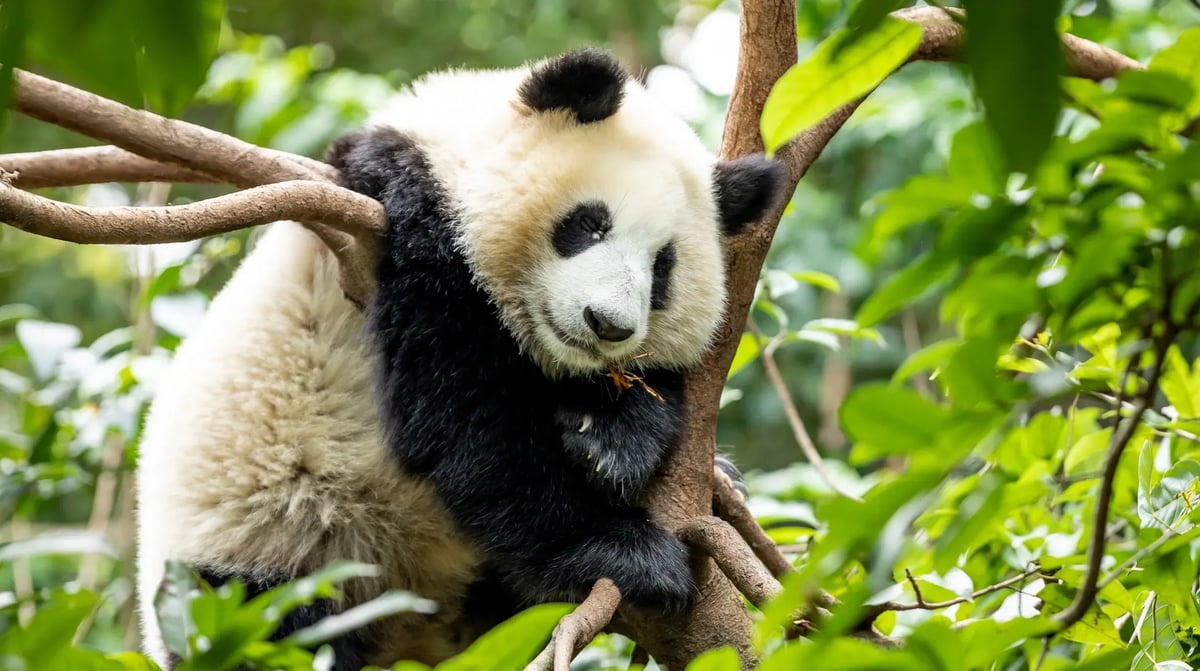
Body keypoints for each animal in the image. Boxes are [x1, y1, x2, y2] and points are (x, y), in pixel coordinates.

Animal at [136, 48, 783, 670]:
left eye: (663, 268)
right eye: (589, 224)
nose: (609, 324)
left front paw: (612, 438)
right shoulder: (404, 221)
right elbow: (464, 420)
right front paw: (628, 551)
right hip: (260, 564)